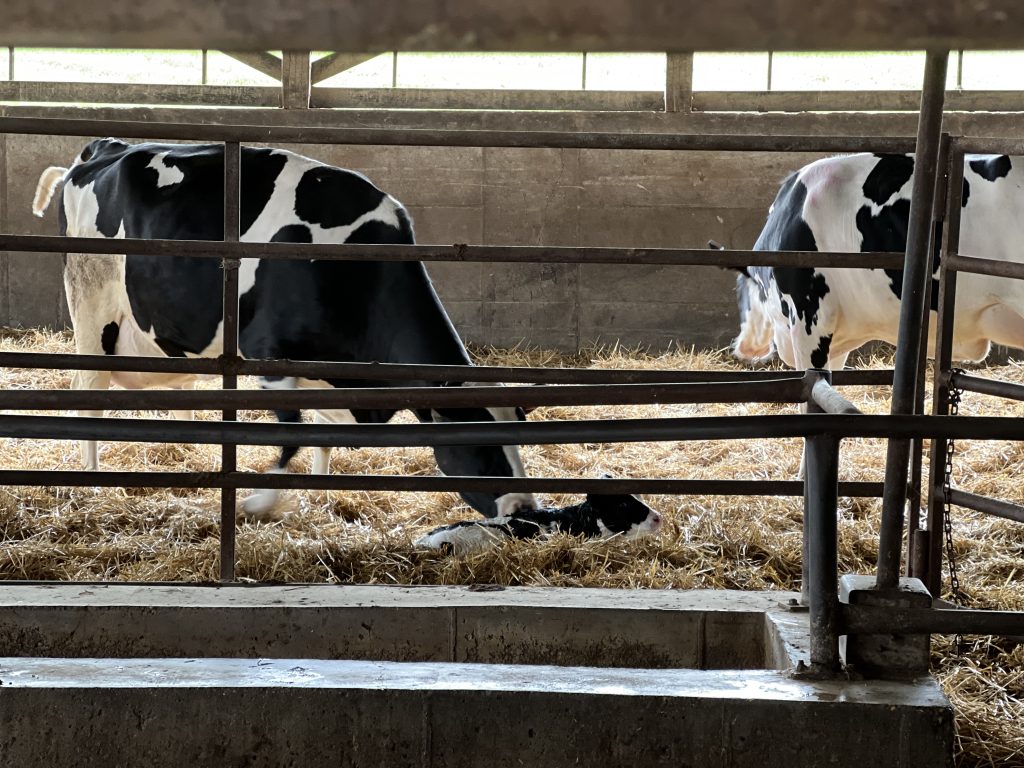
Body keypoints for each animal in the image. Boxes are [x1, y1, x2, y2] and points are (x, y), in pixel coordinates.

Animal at [34, 141, 536, 520]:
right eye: (482, 450)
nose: (529, 513)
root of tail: (104, 148)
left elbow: (322, 436)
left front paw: (318, 495)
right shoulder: (271, 356)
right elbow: (291, 437)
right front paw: (259, 501)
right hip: (92, 313)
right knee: (89, 395)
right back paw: (91, 486)